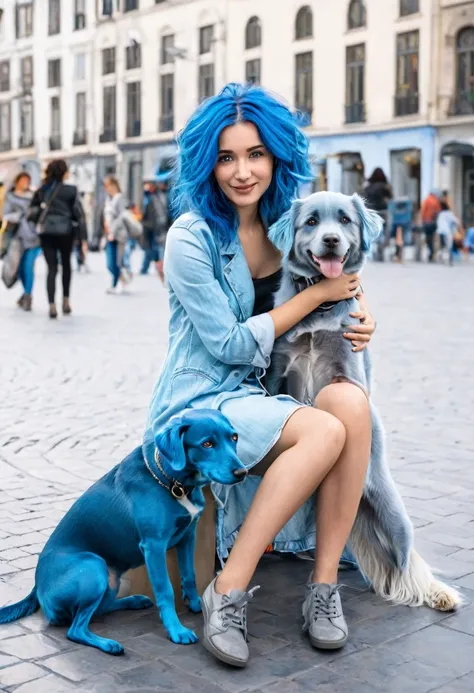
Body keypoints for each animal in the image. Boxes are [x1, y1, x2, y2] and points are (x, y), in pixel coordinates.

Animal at [0, 410, 246, 656]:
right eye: (207, 443)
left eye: (234, 437)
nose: (242, 472)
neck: (172, 483)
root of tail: (36, 587)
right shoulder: (153, 546)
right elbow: (165, 590)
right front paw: (177, 630)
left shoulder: (188, 536)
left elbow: (190, 574)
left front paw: (195, 604)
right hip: (93, 567)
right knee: (75, 629)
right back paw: (109, 644)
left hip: (110, 581)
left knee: (100, 609)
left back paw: (134, 601)